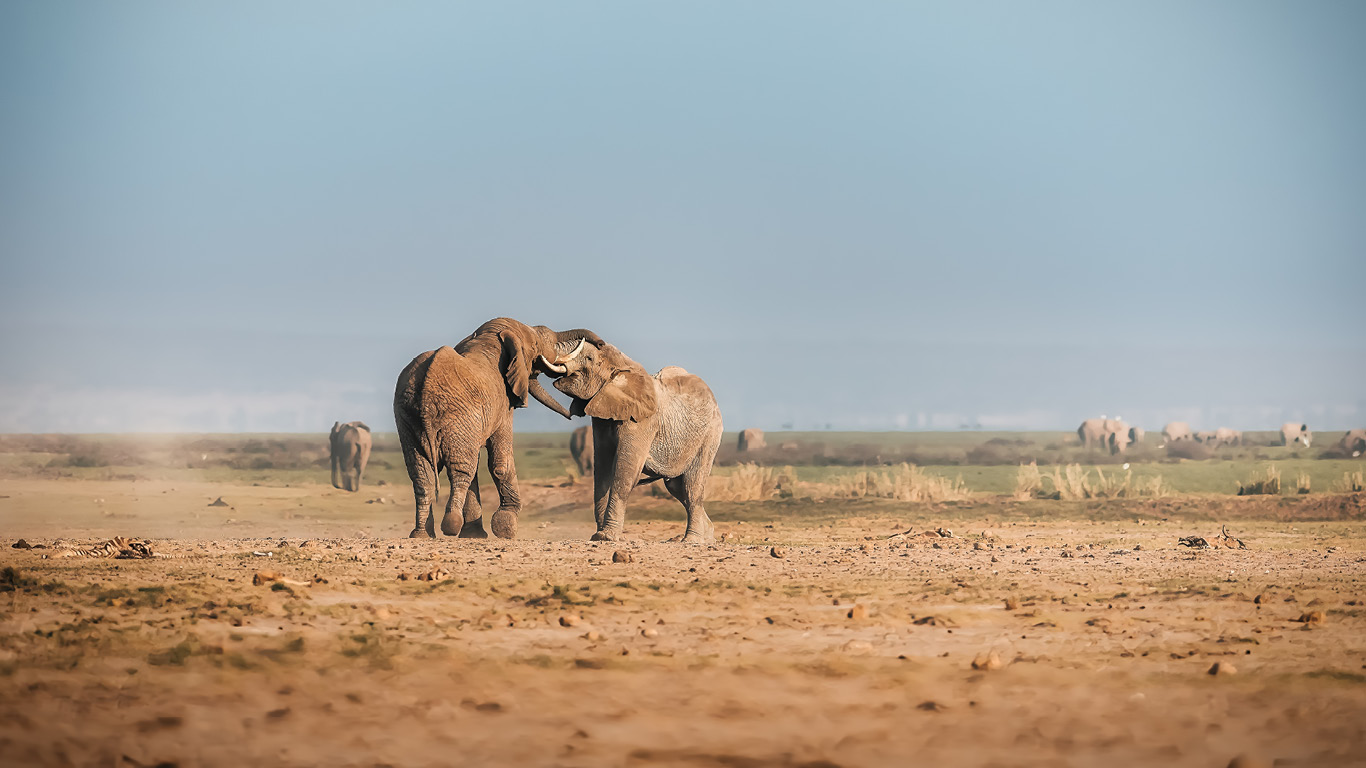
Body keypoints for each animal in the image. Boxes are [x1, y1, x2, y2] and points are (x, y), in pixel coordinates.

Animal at [393, 318, 600, 539]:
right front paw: (506, 528)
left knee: (422, 475)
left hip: (409, 417)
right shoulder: (502, 405)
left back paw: (422, 535)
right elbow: (500, 461)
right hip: (454, 415)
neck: (488, 340)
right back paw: (451, 526)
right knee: (459, 471)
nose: (575, 413)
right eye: (535, 345)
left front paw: (474, 535)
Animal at [539, 339, 723, 544]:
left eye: (589, 358)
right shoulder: (602, 416)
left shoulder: (642, 421)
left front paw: (606, 537)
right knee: (676, 488)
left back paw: (692, 540)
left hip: (709, 435)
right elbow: (602, 468)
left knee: (691, 488)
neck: (624, 368)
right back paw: (708, 536)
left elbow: (624, 471)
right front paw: (599, 536)